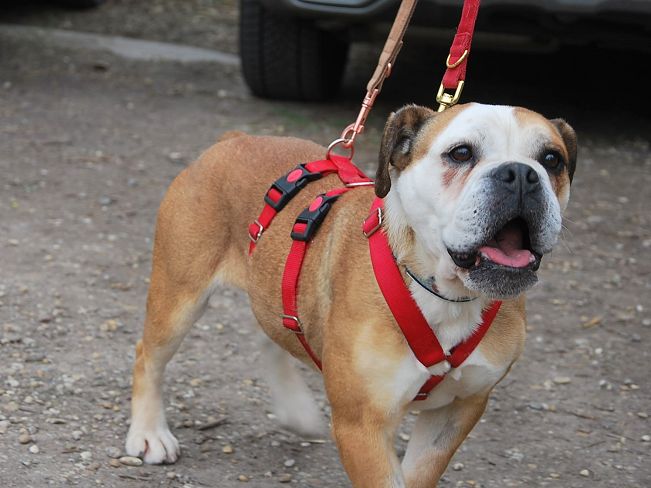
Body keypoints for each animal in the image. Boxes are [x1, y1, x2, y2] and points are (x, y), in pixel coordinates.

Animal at [125, 103, 577, 487]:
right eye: (461, 153)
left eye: (552, 160)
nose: (521, 174)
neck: (443, 293)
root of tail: (231, 140)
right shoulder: (363, 425)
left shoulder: (458, 410)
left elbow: (418, 475)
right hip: (179, 295)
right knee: (149, 355)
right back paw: (149, 434)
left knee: (273, 333)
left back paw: (295, 408)